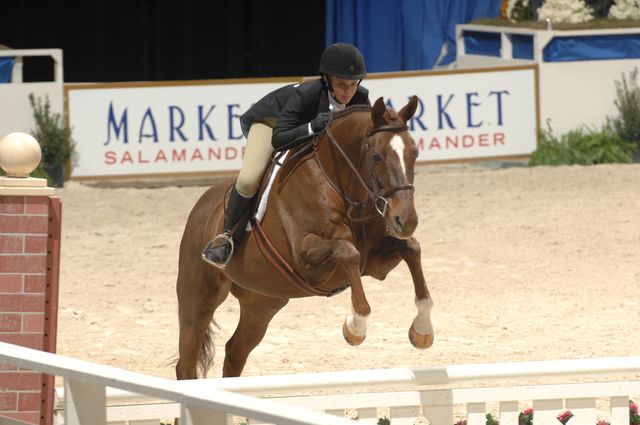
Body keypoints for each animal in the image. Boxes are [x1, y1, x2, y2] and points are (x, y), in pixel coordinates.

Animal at [175, 95, 436, 378]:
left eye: (414, 153)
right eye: (377, 156)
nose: (406, 220)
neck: (338, 182)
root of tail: (201, 207)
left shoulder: (377, 262)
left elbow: (412, 248)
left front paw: (422, 331)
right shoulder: (306, 260)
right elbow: (348, 252)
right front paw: (355, 328)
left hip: (262, 302)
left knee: (235, 352)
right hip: (198, 300)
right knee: (186, 360)